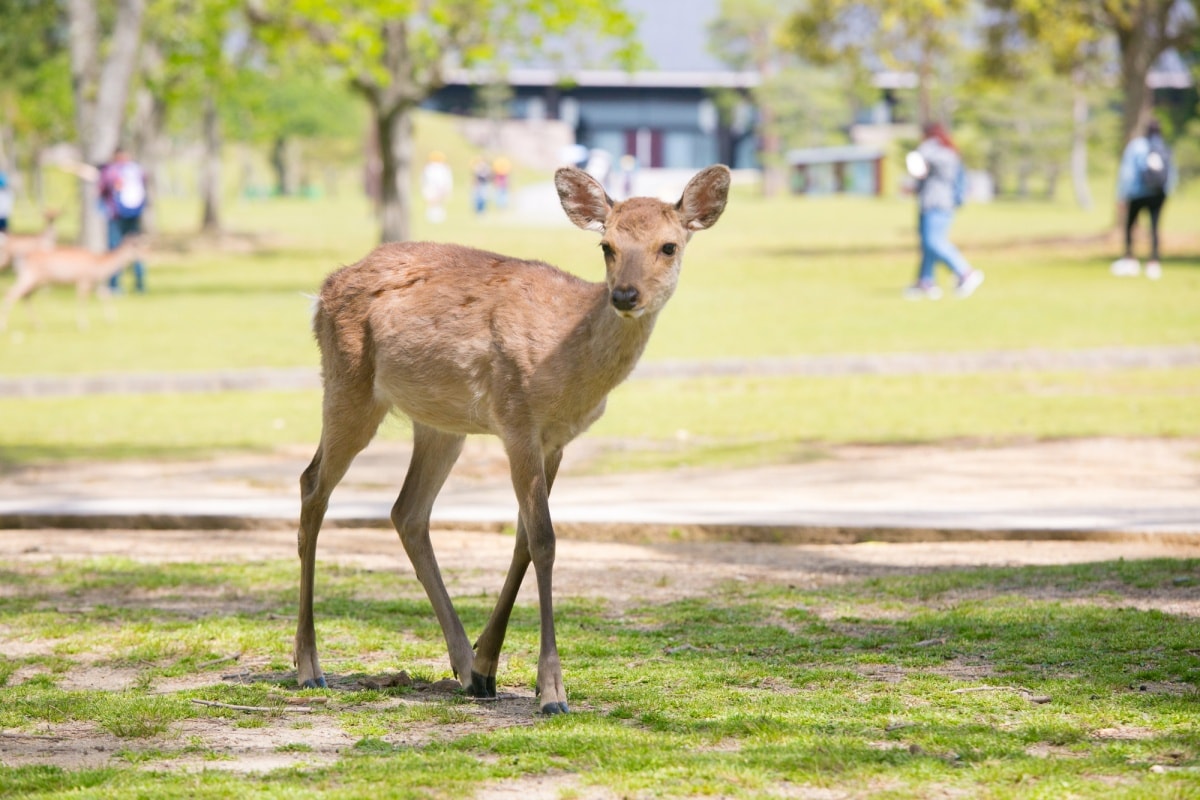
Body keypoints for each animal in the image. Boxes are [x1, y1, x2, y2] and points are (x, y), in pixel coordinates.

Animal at [0, 235, 147, 331]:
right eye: (136, 247)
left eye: (141, 245)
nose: (146, 255)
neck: (99, 266)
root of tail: (20, 259)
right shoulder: (83, 280)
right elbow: (82, 300)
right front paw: (83, 325)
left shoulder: (96, 283)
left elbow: (105, 297)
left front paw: (111, 320)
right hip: (30, 276)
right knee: (11, 293)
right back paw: (5, 325)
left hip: (37, 280)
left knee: (25, 296)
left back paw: (39, 325)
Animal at [297, 165, 729, 714]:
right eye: (607, 246)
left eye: (669, 246)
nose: (625, 295)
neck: (570, 368)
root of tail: (320, 293)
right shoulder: (516, 418)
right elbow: (544, 538)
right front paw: (552, 691)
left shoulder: (556, 438)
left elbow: (523, 537)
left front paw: (488, 666)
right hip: (348, 383)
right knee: (313, 485)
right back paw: (309, 666)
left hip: (440, 423)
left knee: (407, 510)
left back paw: (463, 666)